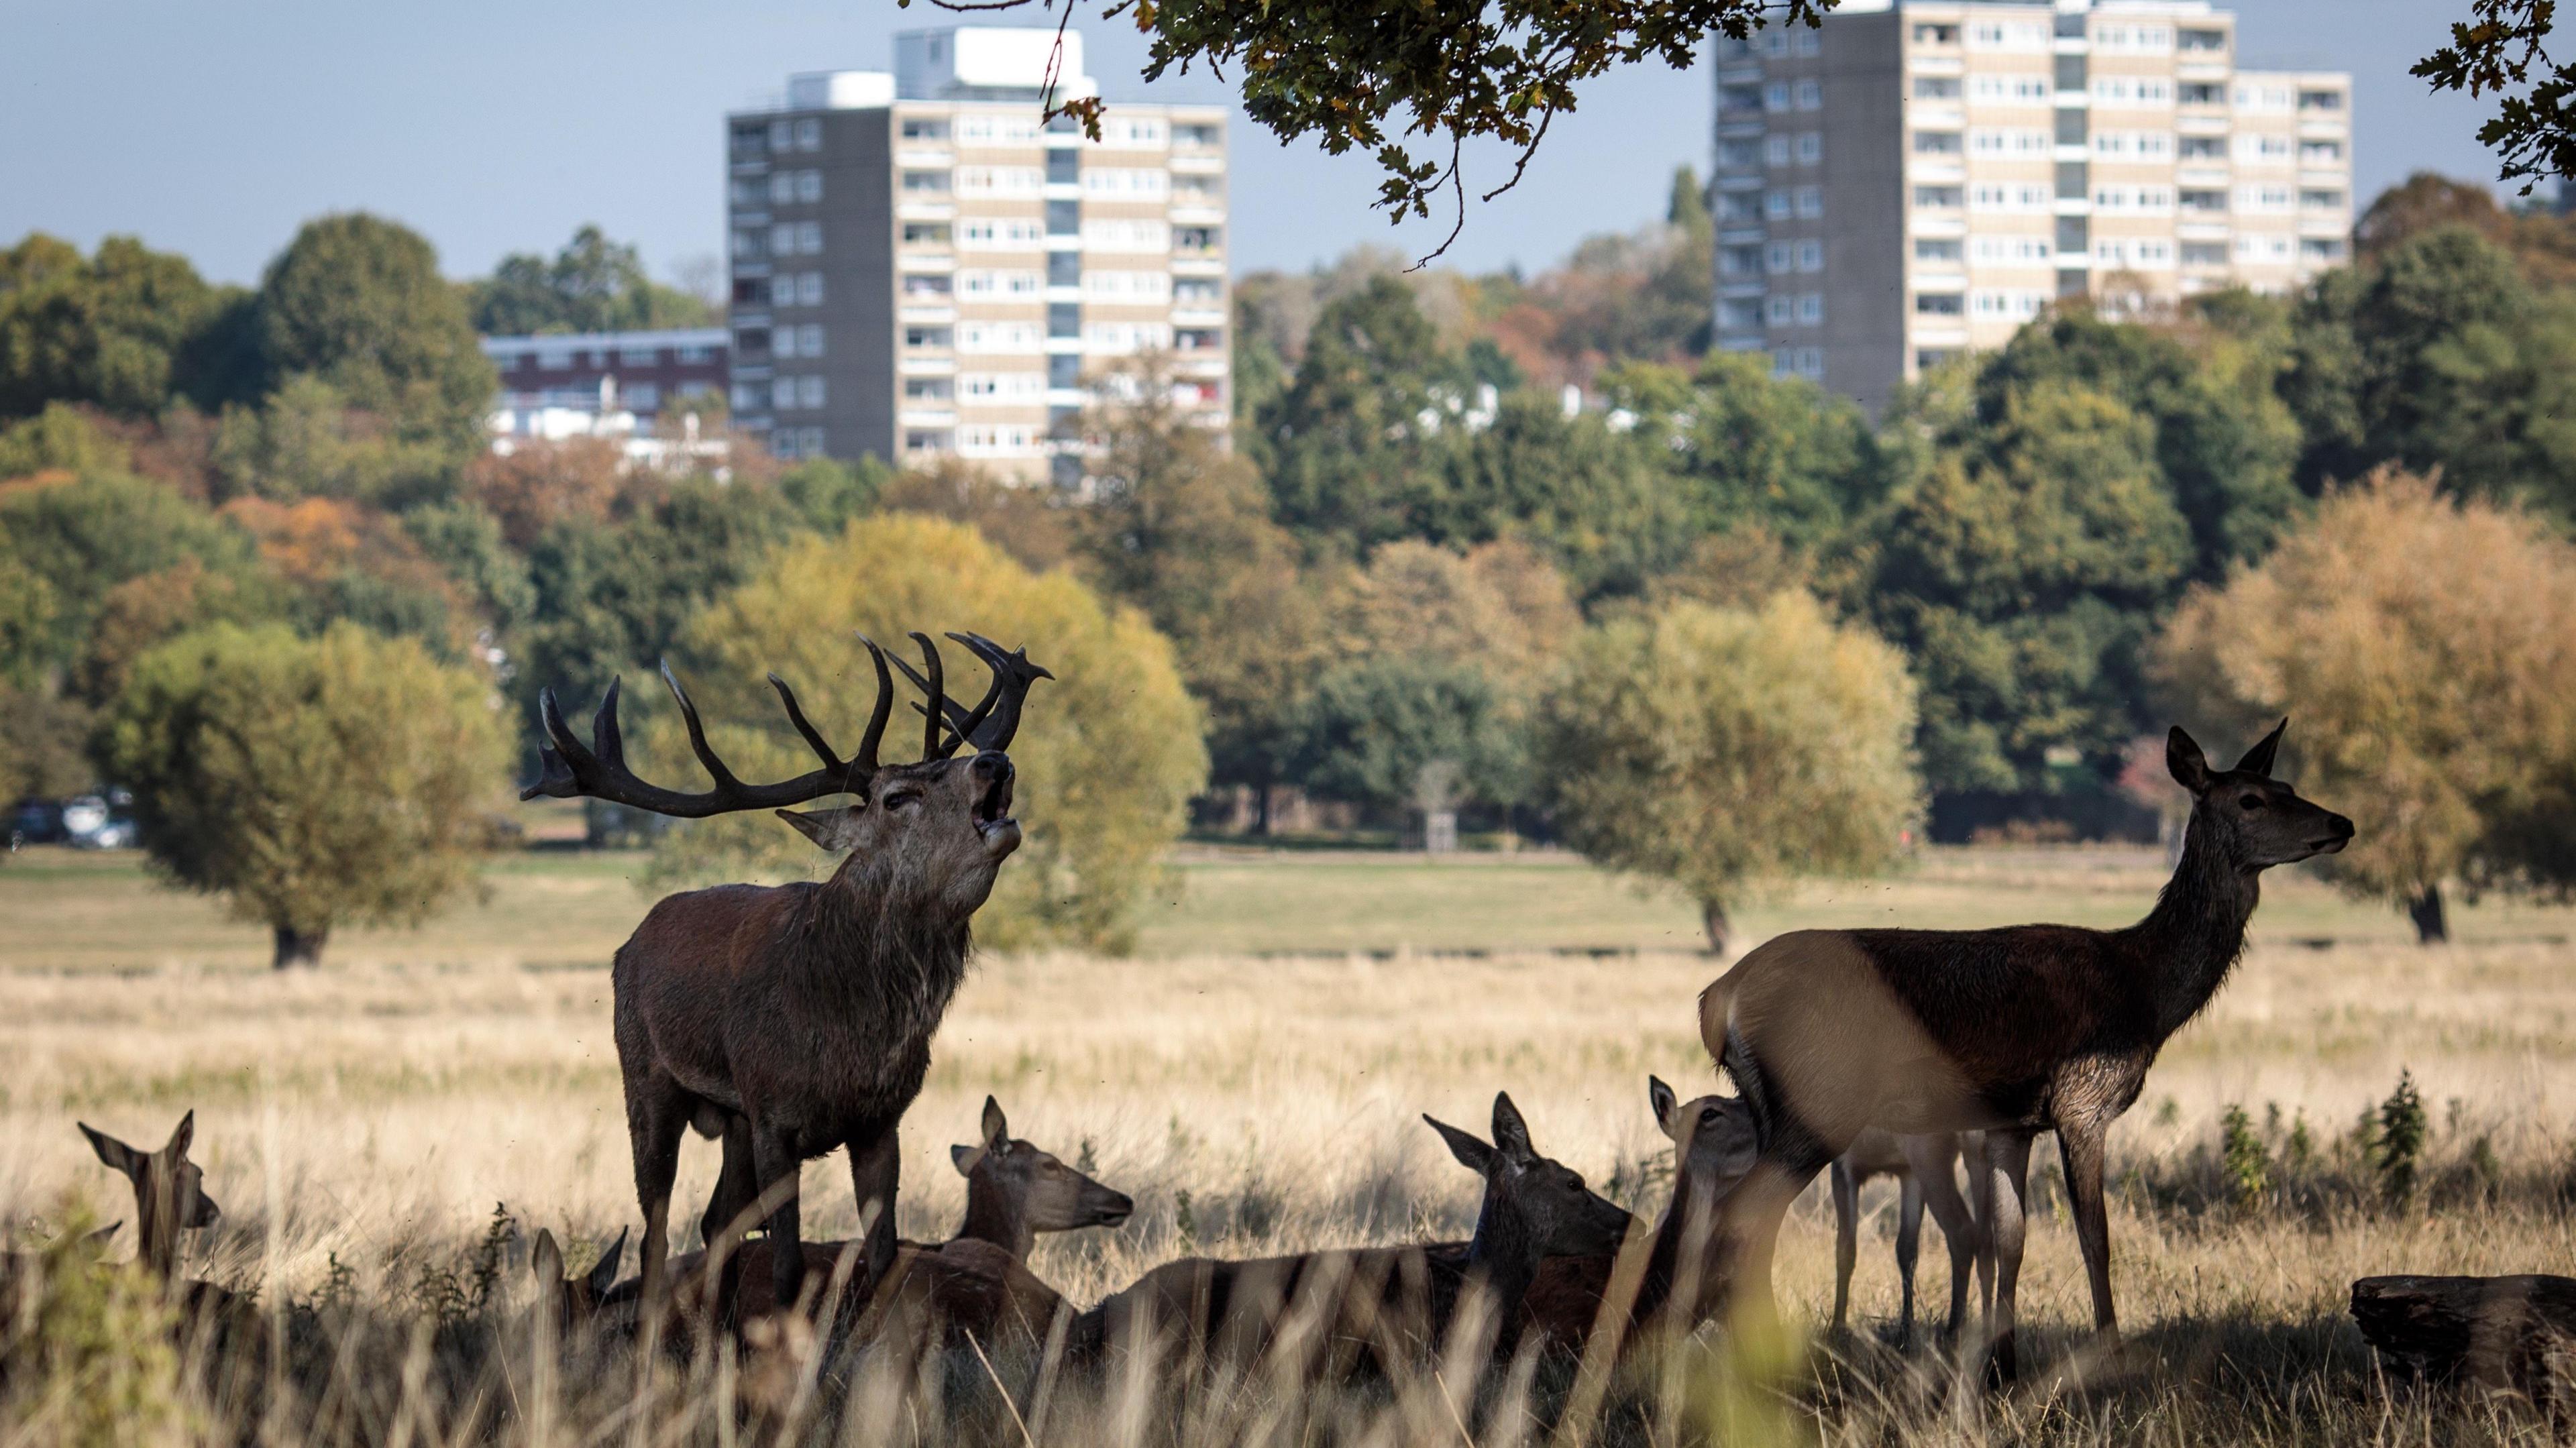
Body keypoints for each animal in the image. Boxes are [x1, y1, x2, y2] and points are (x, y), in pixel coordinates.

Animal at [517, 626, 1051, 1314]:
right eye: (897, 797)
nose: (994, 761)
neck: (849, 1034)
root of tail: (630, 941)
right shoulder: (775, 1115)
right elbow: (788, 1267)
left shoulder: (882, 1120)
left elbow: (883, 1260)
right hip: (646, 1076)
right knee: (656, 1229)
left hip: (733, 1118)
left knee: (715, 1220)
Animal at [1710, 721, 2359, 1370]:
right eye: (2251, 799)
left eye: (2288, 785)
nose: (2341, 823)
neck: (2142, 992)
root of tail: (1720, 998)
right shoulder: (2083, 1100)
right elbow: (2095, 1239)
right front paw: (2110, 1357)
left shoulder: (2010, 1123)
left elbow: (2010, 1239)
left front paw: (2002, 1361)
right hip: (1819, 1101)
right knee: (1744, 1217)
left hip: (1777, 1110)